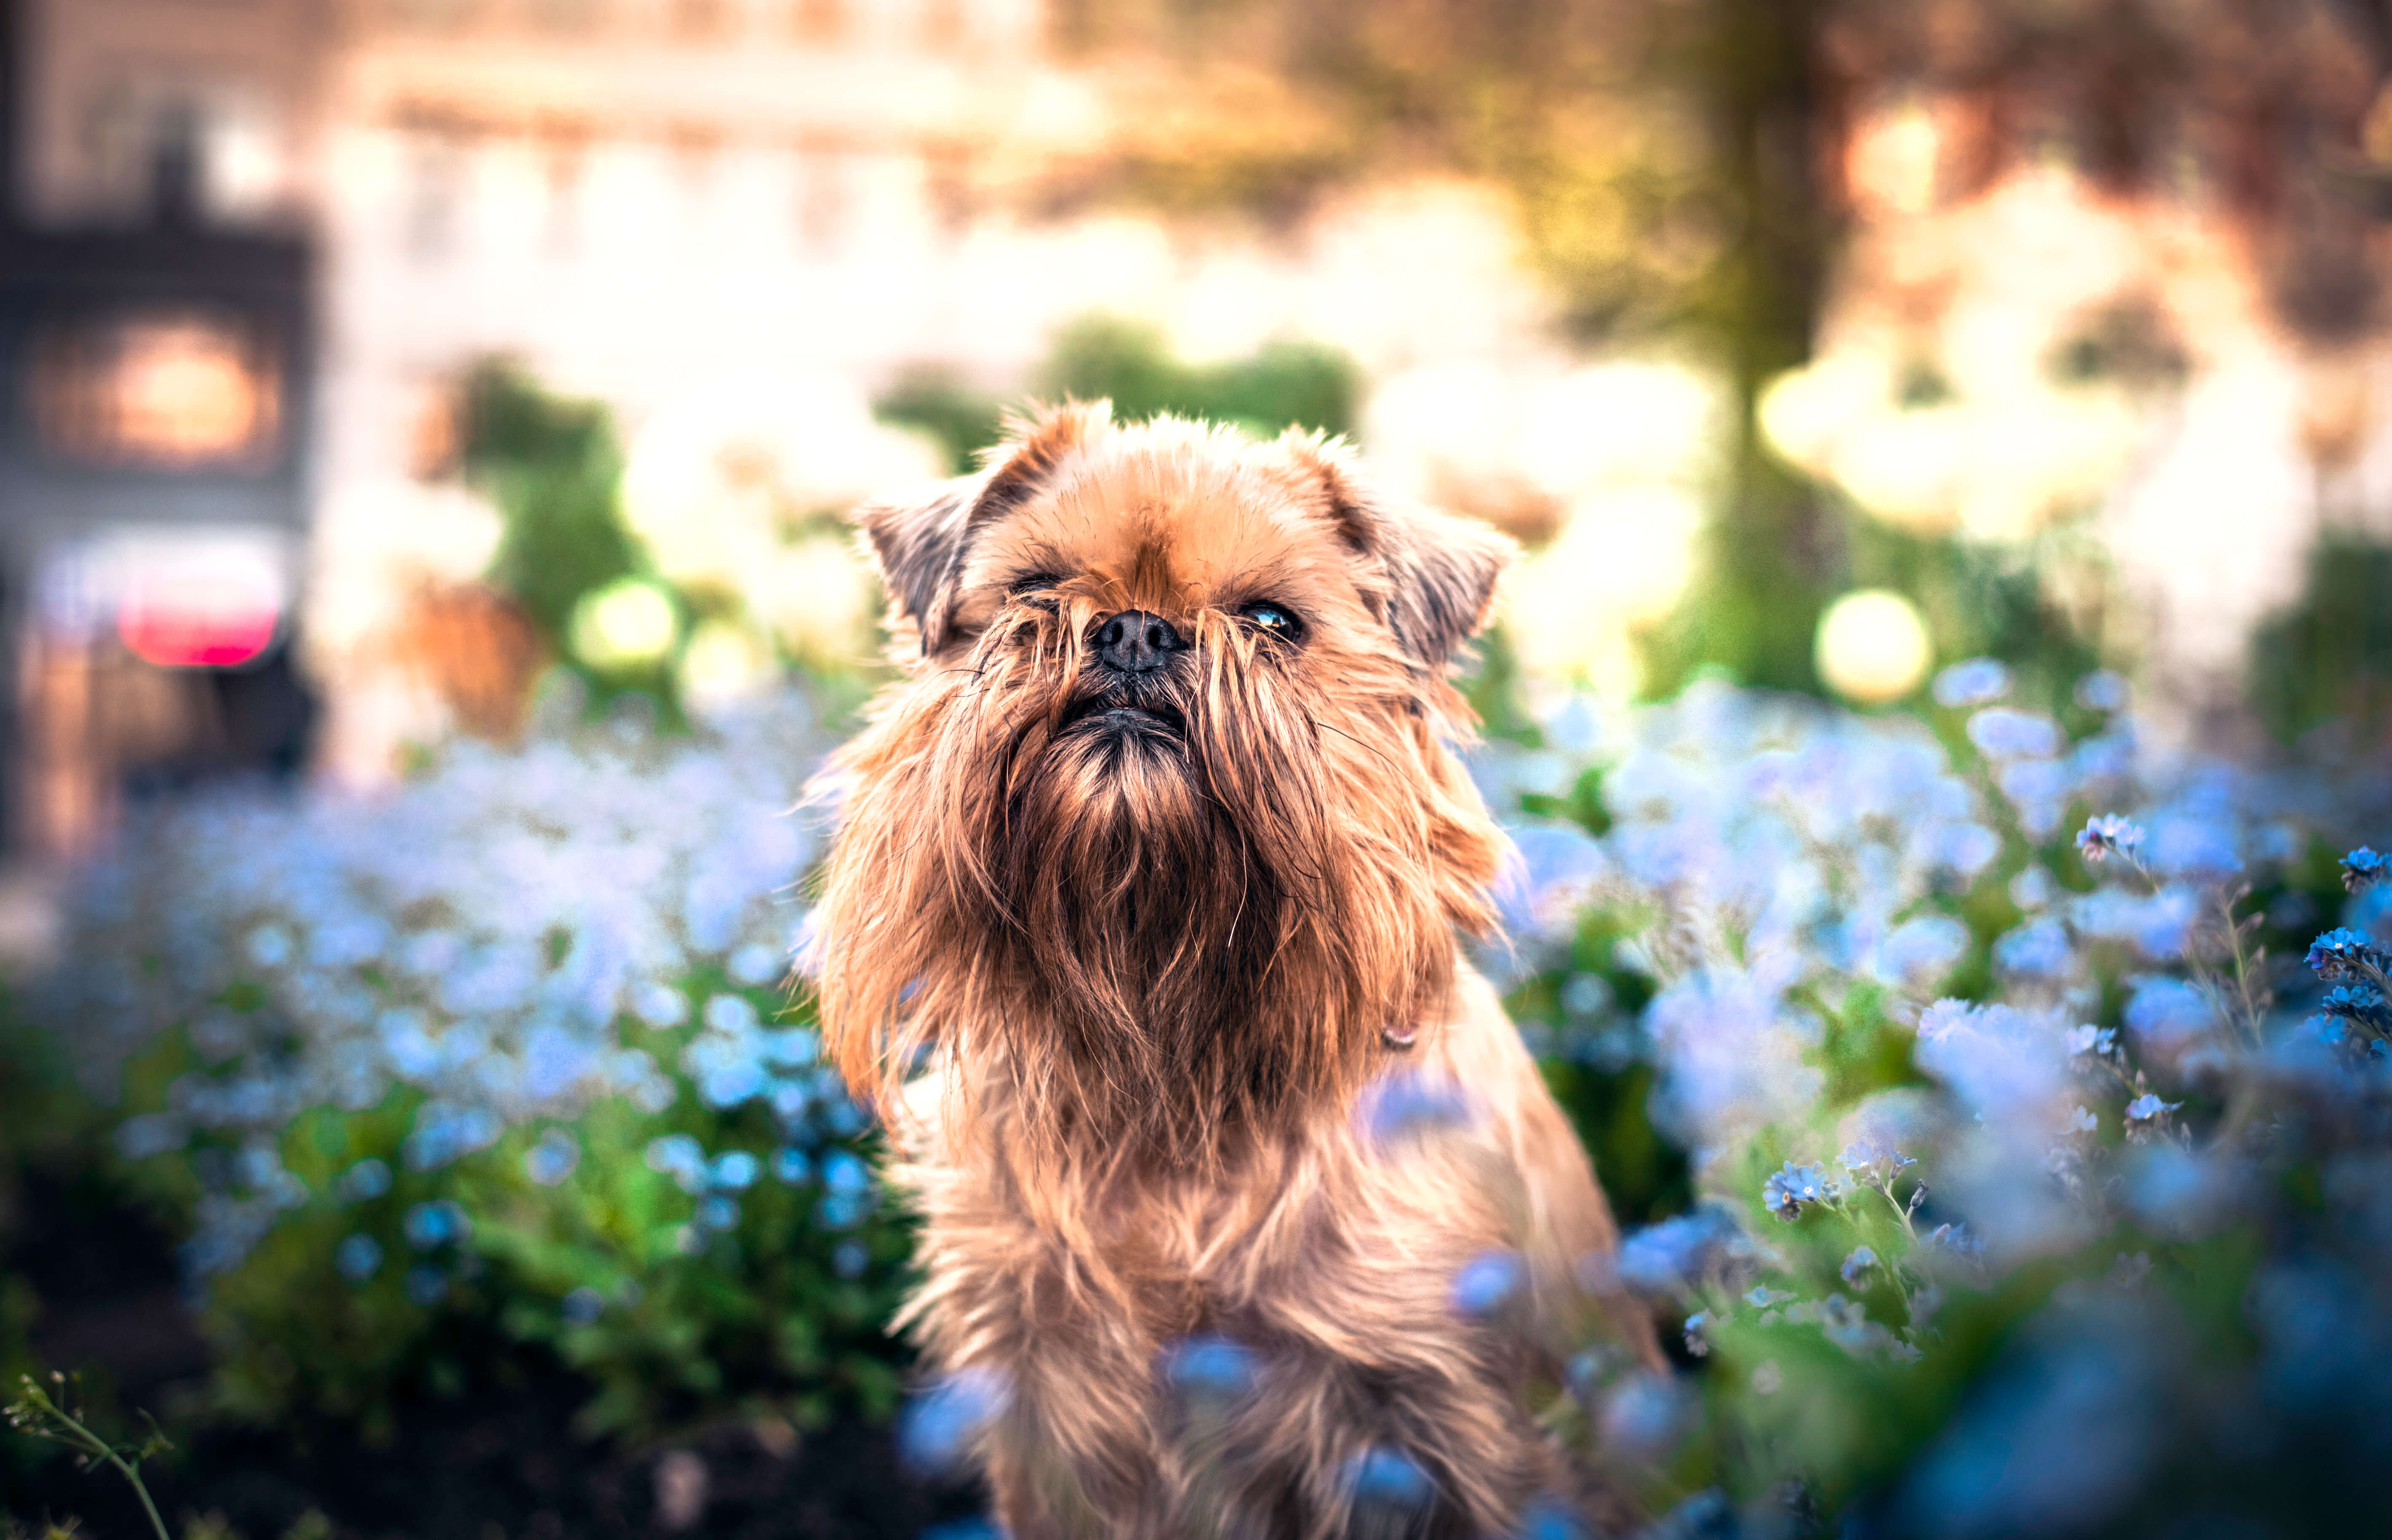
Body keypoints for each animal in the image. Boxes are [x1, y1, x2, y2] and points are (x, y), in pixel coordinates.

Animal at [813, 404, 1655, 1530]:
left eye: (1270, 622)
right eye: (1034, 591)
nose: (1132, 628)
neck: (1169, 1052)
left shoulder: (1445, 1416)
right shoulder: (1043, 1412)